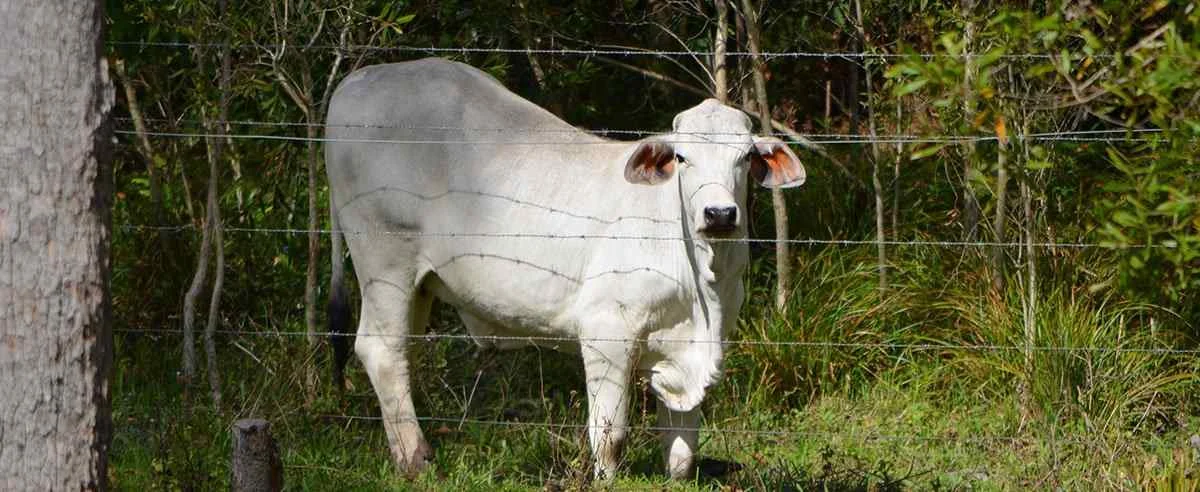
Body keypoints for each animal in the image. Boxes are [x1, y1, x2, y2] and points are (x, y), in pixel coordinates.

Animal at [324, 58, 805, 480]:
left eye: (744, 158)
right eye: (683, 158)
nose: (719, 214)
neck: (705, 283)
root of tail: (360, 79)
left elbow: (683, 447)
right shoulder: (606, 331)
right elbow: (610, 434)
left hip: (418, 283)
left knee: (403, 350)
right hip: (384, 258)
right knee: (380, 349)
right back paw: (415, 459)